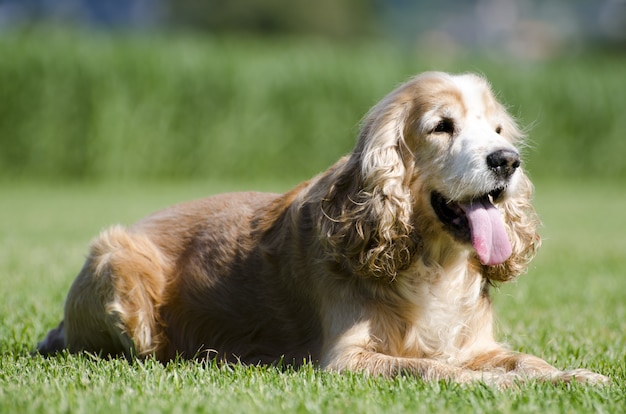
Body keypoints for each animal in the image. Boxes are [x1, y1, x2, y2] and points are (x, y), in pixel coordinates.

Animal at [36, 70, 608, 384]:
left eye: (497, 130)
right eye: (442, 127)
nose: (507, 161)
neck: (433, 264)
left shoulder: (479, 344)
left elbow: (526, 360)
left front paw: (574, 376)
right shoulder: (346, 359)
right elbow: (435, 368)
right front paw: (497, 386)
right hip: (116, 264)